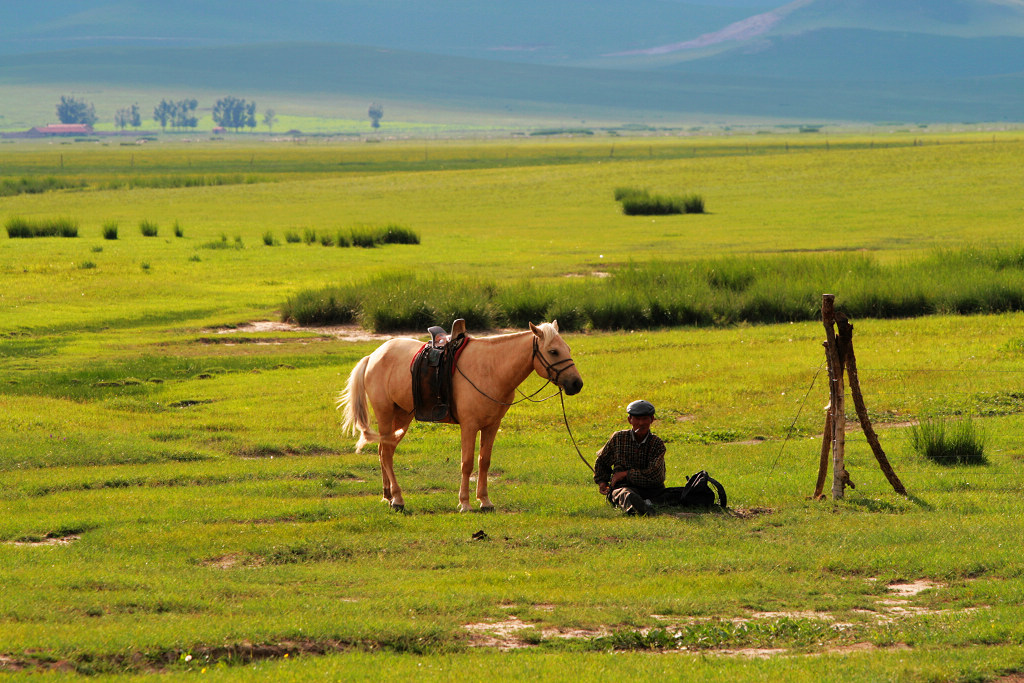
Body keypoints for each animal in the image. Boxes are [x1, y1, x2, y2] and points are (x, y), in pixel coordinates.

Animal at [339, 323, 585, 509]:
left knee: (384, 451)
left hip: (402, 417)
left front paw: (485, 501)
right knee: (386, 454)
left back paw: (388, 495)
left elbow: (484, 462)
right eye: (553, 351)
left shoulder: (491, 426)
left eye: (568, 348)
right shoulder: (469, 426)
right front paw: (465, 503)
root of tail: (374, 355)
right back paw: (398, 499)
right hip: (385, 414)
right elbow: (466, 463)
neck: (491, 368)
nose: (577, 384)